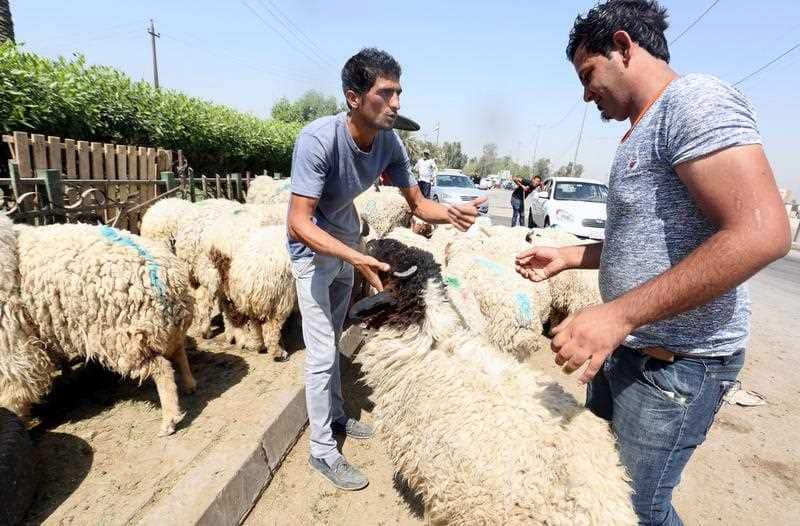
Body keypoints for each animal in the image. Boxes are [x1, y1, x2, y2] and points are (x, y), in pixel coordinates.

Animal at [2, 221, 195, 436]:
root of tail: (167, 278)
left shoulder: (12, 343)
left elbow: (13, 390)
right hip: (161, 330)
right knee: (179, 352)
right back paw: (189, 385)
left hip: (125, 339)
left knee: (162, 370)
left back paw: (169, 421)